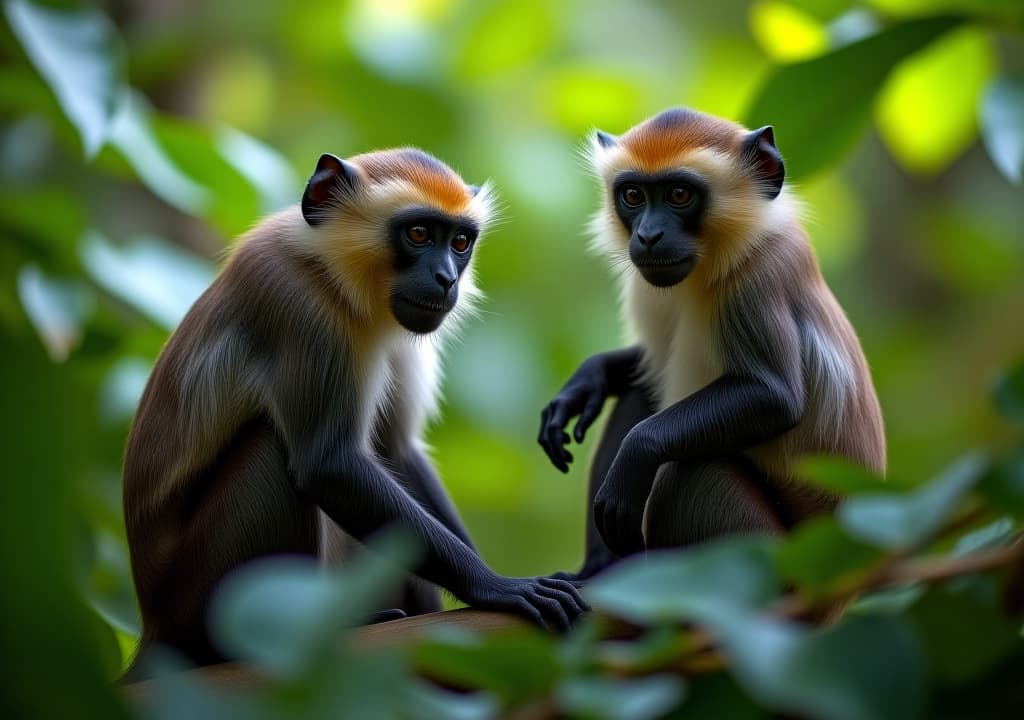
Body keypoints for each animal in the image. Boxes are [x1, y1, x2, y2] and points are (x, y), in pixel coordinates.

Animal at [121, 147, 585, 675]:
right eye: (419, 233)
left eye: (461, 242)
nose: (447, 278)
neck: (330, 268)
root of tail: (156, 623)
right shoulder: (299, 305)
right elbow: (330, 465)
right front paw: (496, 586)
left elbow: (397, 450)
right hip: (198, 591)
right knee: (269, 451)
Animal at [540, 108, 884, 581]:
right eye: (633, 196)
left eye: (679, 194)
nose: (648, 235)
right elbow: (647, 365)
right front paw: (591, 377)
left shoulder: (759, 276)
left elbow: (774, 397)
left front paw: (633, 455)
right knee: (642, 391)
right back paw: (601, 570)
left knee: (690, 473)